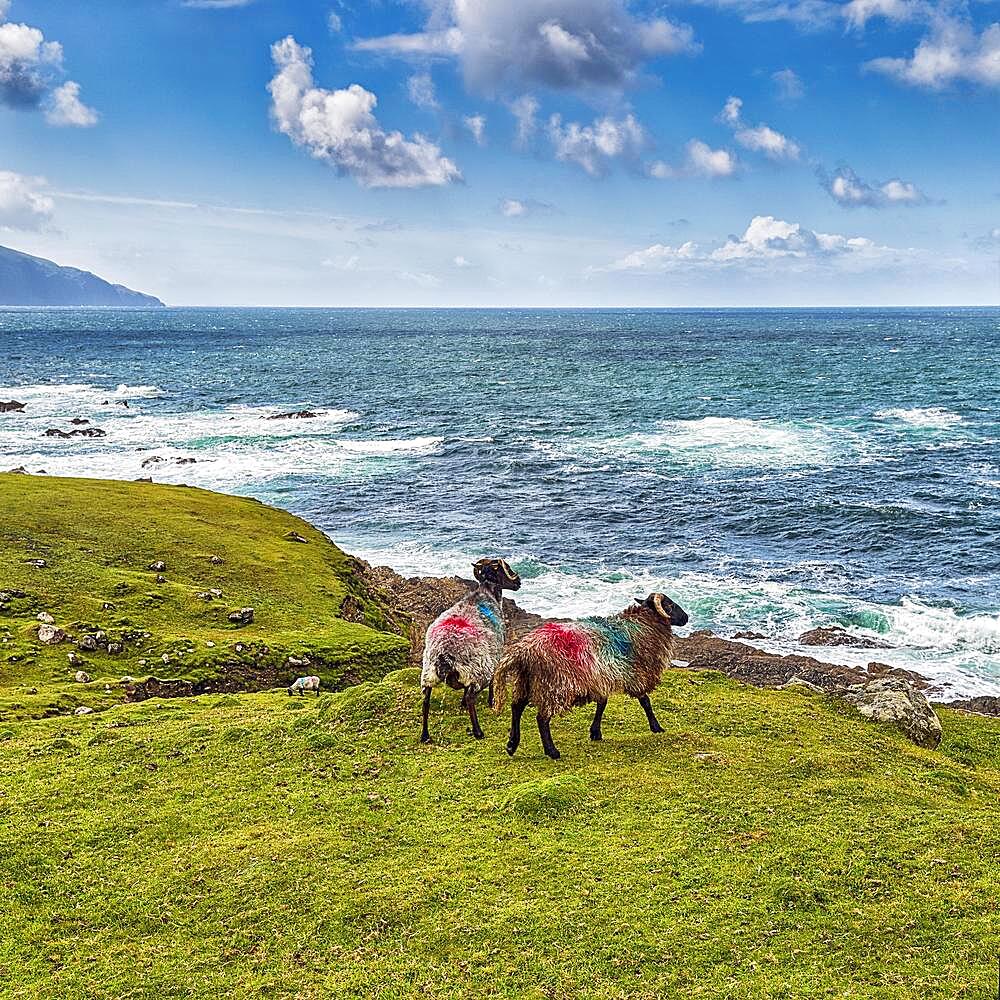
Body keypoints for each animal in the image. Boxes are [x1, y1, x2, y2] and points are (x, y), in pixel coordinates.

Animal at [420, 564, 524, 744]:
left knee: (426, 700)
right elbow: (492, 682)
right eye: (505, 569)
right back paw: (478, 731)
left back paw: (425, 735)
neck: (486, 593)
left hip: (429, 671)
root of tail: (444, 652)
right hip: (479, 669)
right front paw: (491, 701)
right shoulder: (494, 654)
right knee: (471, 697)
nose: (518, 582)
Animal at [494, 592, 688, 756]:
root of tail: (524, 650)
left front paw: (595, 732)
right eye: (670, 605)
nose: (686, 617)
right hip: (554, 684)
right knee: (541, 718)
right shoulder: (635, 674)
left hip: (528, 680)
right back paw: (551, 751)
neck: (641, 624)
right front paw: (656, 727)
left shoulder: (601, 675)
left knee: (516, 707)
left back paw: (512, 744)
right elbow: (645, 702)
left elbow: (602, 703)